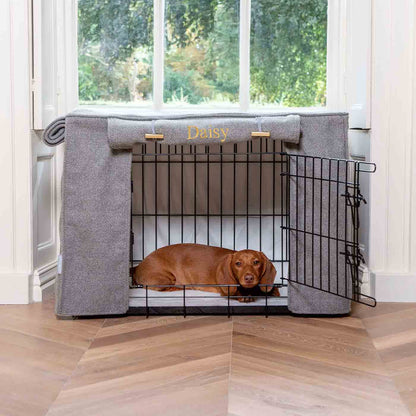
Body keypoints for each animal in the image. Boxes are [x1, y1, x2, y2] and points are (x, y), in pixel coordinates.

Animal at [132, 243, 280, 302]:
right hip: (166, 278)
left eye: (256, 262)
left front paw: (271, 290)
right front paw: (243, 296)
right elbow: (235, 292)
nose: (249, 278)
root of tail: (138, 266)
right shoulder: (225, 290)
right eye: (238, 263)